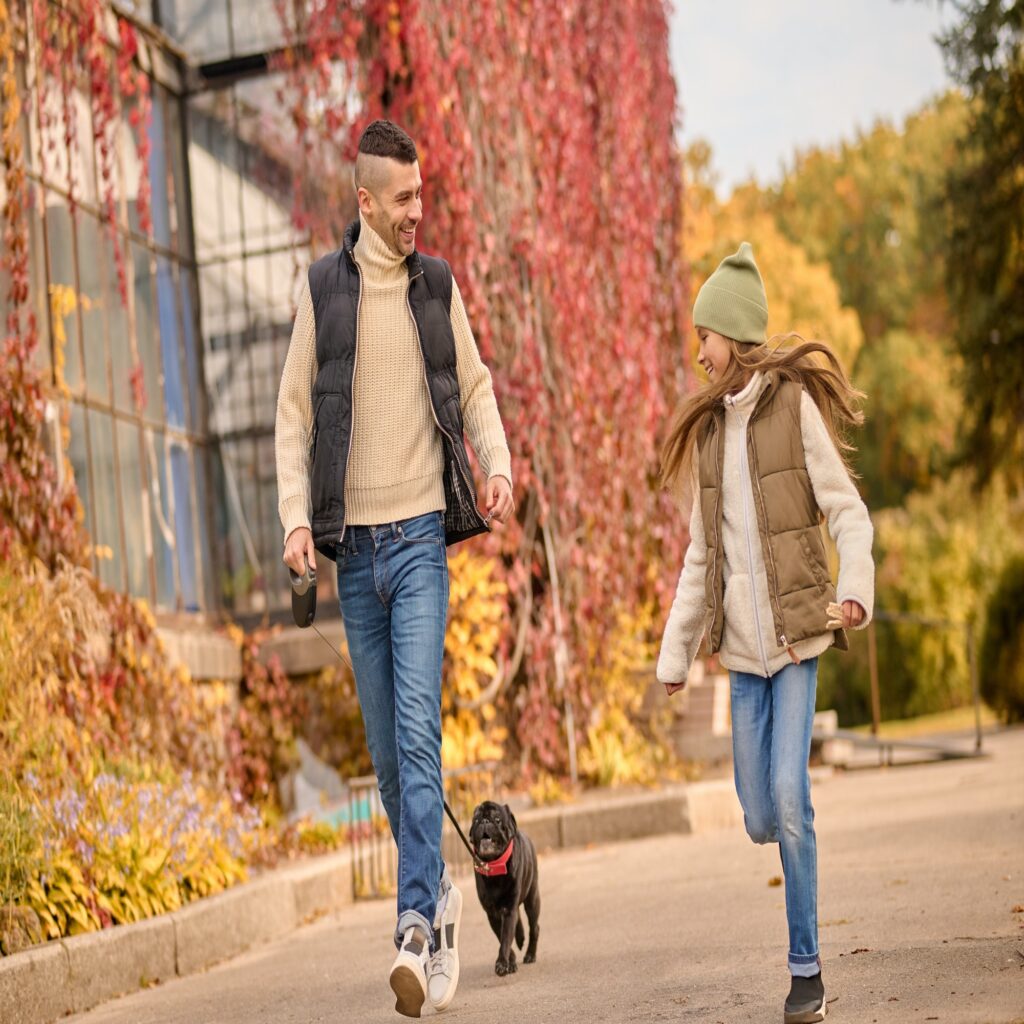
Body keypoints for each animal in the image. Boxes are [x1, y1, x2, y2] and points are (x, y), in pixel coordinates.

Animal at [468, 798, 540, 974]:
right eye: (476, 820)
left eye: (497, 819)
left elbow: (506, 938)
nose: (485, 821)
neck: (494, 866)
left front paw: (502, 963)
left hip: (532, 900)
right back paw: (520, 939)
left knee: (534, 927)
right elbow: (503, 938)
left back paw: (530, 954)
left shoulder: (508, 909)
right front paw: (510, 962)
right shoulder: (493, 914)